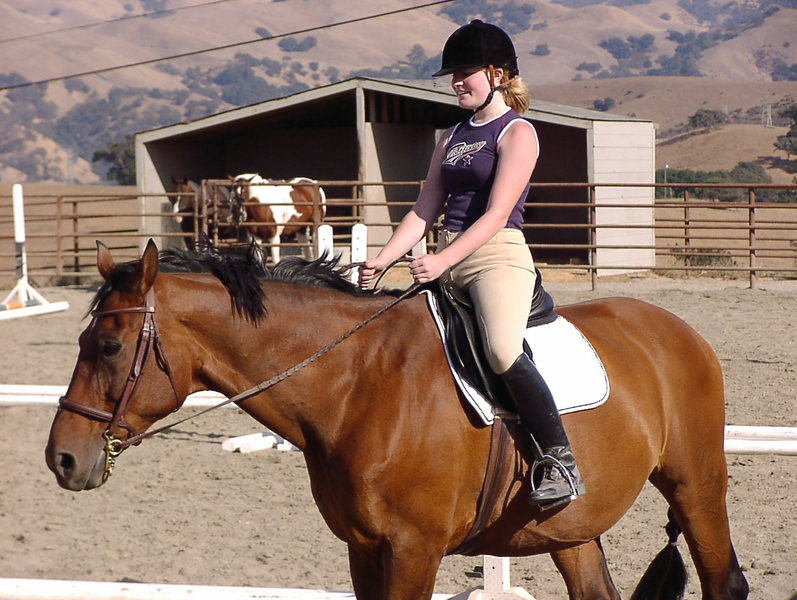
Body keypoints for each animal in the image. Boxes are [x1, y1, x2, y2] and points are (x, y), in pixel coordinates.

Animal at [46, 241, 749, 600]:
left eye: (108, 346)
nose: (62, 458)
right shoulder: (362, 547)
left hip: (696, 487)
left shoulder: (414, 548)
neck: (355, 382)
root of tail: (677, 330)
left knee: (722, 578)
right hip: (569, 529)